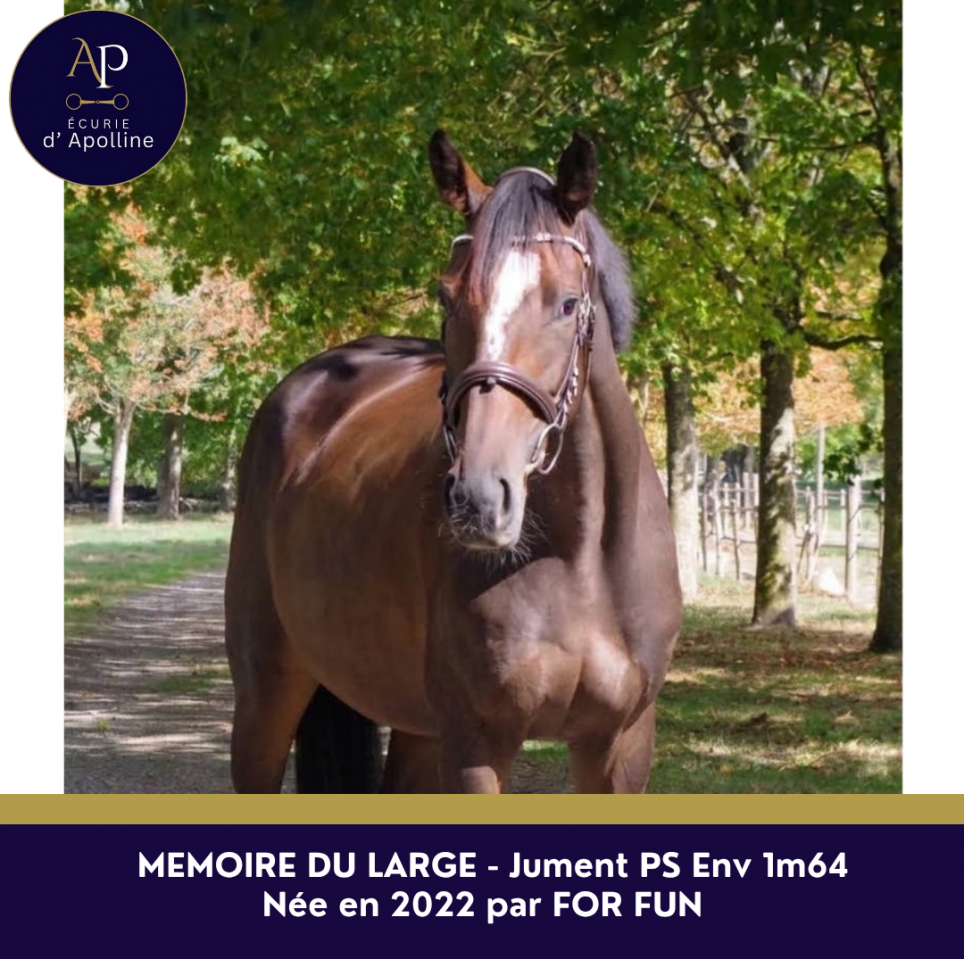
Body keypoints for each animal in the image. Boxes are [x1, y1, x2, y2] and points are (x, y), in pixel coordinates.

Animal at [224, 130, 682, 793]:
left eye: (569, 304)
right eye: (447, 296)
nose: (479, 500)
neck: (582, 558)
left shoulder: (620, 745)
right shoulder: (477, 742)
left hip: (414, 724)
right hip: (267, 693)